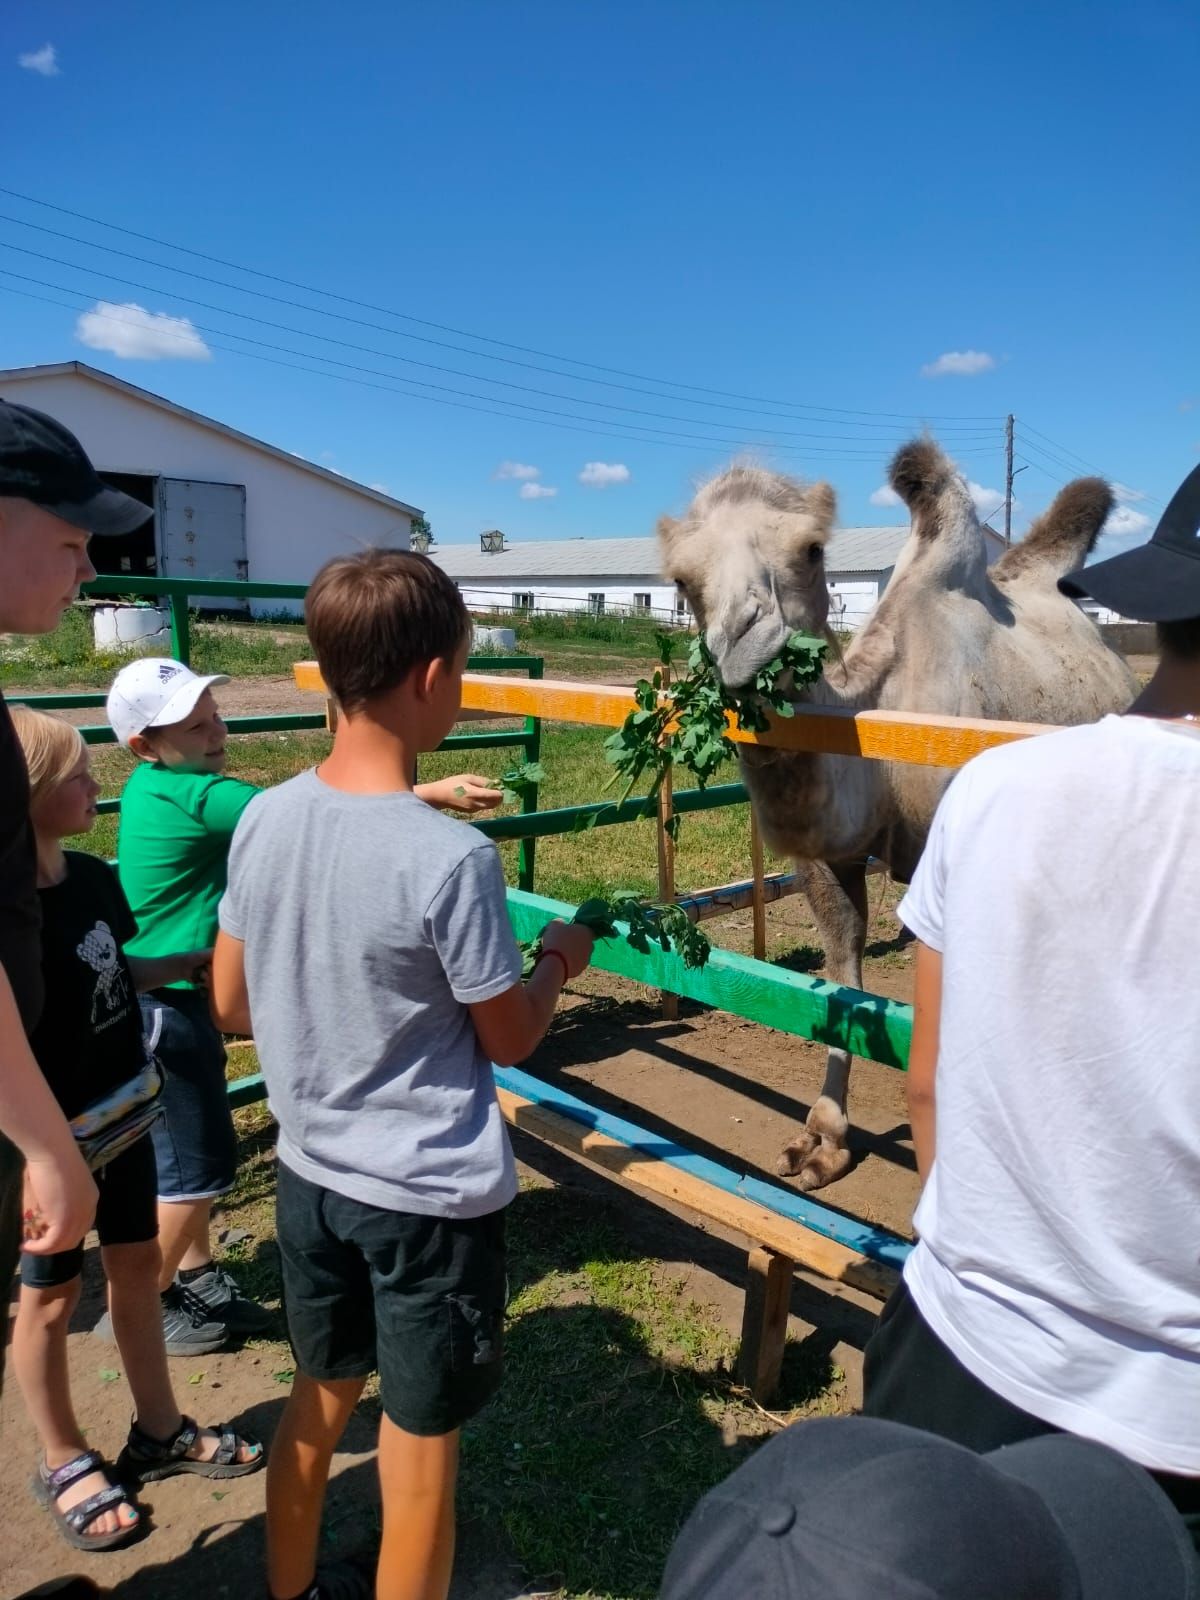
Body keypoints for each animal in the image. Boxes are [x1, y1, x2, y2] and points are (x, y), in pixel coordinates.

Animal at [659, 438, 1139, 1190]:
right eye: (681, 577)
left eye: (813, 549)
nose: (744, 640)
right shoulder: (831, 857)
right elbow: (842, 974)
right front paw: (821, 1141)